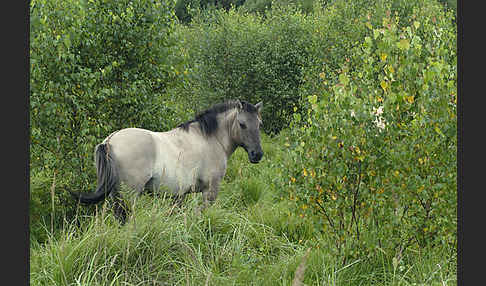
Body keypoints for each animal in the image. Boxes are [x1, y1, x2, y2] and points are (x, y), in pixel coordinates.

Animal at [70, 99, 264, 222]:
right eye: (242, 124)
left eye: (259, 124)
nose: (257, 154)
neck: (211, 139)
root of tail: (109, 141)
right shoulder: (210, 191)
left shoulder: (179, 195)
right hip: (129, 195)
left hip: (115, 195)